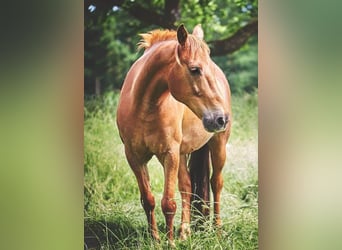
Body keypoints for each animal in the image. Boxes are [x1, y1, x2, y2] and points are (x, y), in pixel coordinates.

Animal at [116, 23, 231, 244]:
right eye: (195, 70)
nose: (221, 118)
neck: (144, 106)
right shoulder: (134, 157)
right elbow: (148, 200)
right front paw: (155, 240)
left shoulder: (169, 154)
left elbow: (168, 203)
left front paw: (169, 243)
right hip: (182, 153)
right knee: (186, 186)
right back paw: (185, 231)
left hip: (218, 144)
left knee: (216, 183)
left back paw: (218, 230)